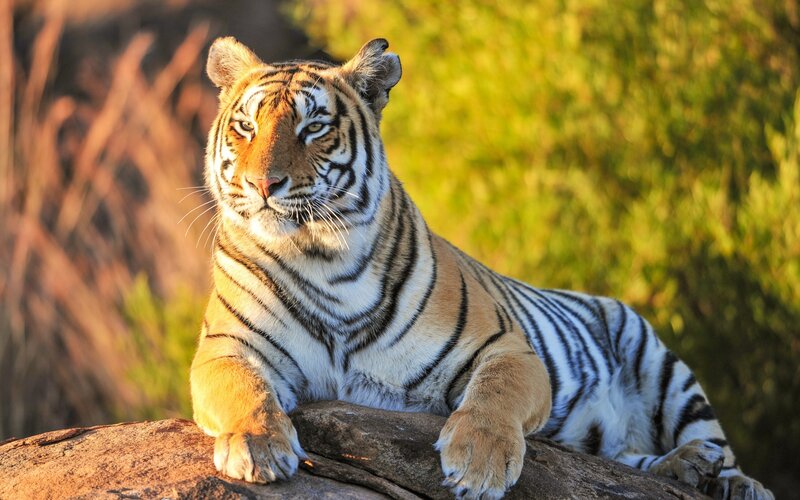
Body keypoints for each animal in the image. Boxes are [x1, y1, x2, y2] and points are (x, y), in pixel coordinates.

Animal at [190, 36, 773, 500]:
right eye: (245, 127)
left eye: (314, 127)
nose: (263, 184)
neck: (320, 258)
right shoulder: (226, 347)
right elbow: (244, 389)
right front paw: (257, 447)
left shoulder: (507, 347)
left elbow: (494, 395)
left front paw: (479, 464)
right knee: (626, 458)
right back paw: (687, 470)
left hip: (663, 366)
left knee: (715, 445)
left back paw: (730, 480)